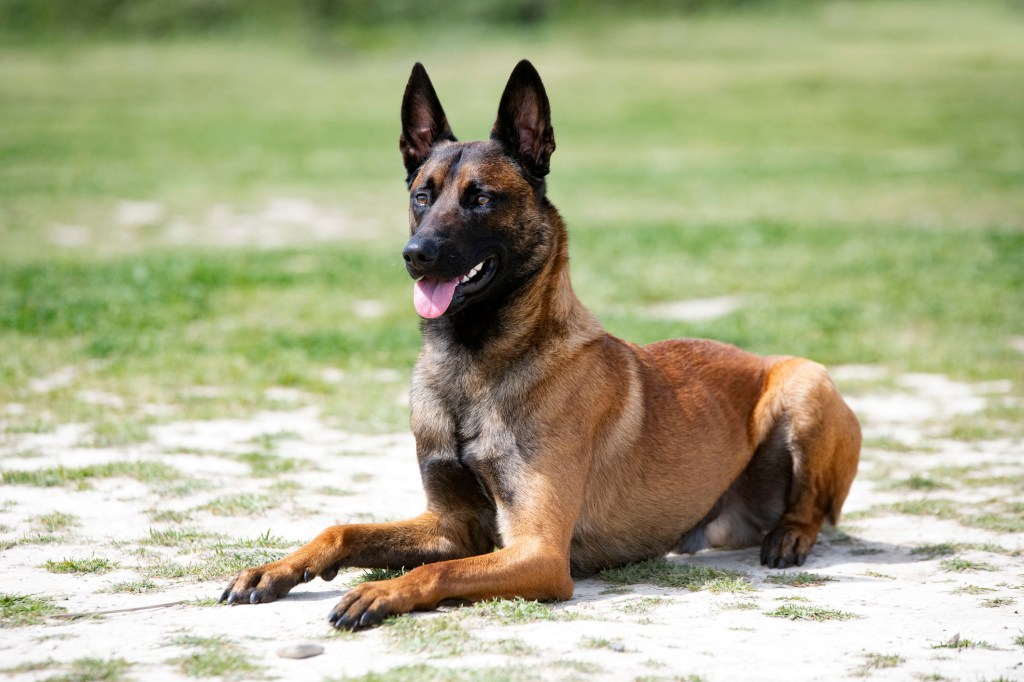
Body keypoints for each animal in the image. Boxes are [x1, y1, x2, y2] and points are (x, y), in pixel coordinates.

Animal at [218, 61, 864, 630]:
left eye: (480, 198)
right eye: (423, 196)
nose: (415, 255)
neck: (472, 363)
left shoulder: (538, 552)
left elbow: (439, 572)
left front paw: (379, 592)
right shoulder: (451, 525)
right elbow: (345, 530)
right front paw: (274, 569)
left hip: (806, 382)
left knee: (812, 506)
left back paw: (789, 537)